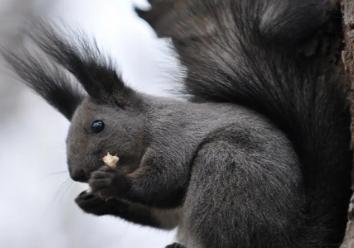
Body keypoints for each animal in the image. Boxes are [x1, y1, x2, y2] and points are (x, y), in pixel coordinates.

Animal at [2, 0, 352, 247]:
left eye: (98, 126)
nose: (77, 174)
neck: (147, 126)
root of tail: (290, 239)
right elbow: (164, 214)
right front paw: (92, 201)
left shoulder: (174, 138)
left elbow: (164, 183)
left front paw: (114, 184)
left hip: (226, 170)